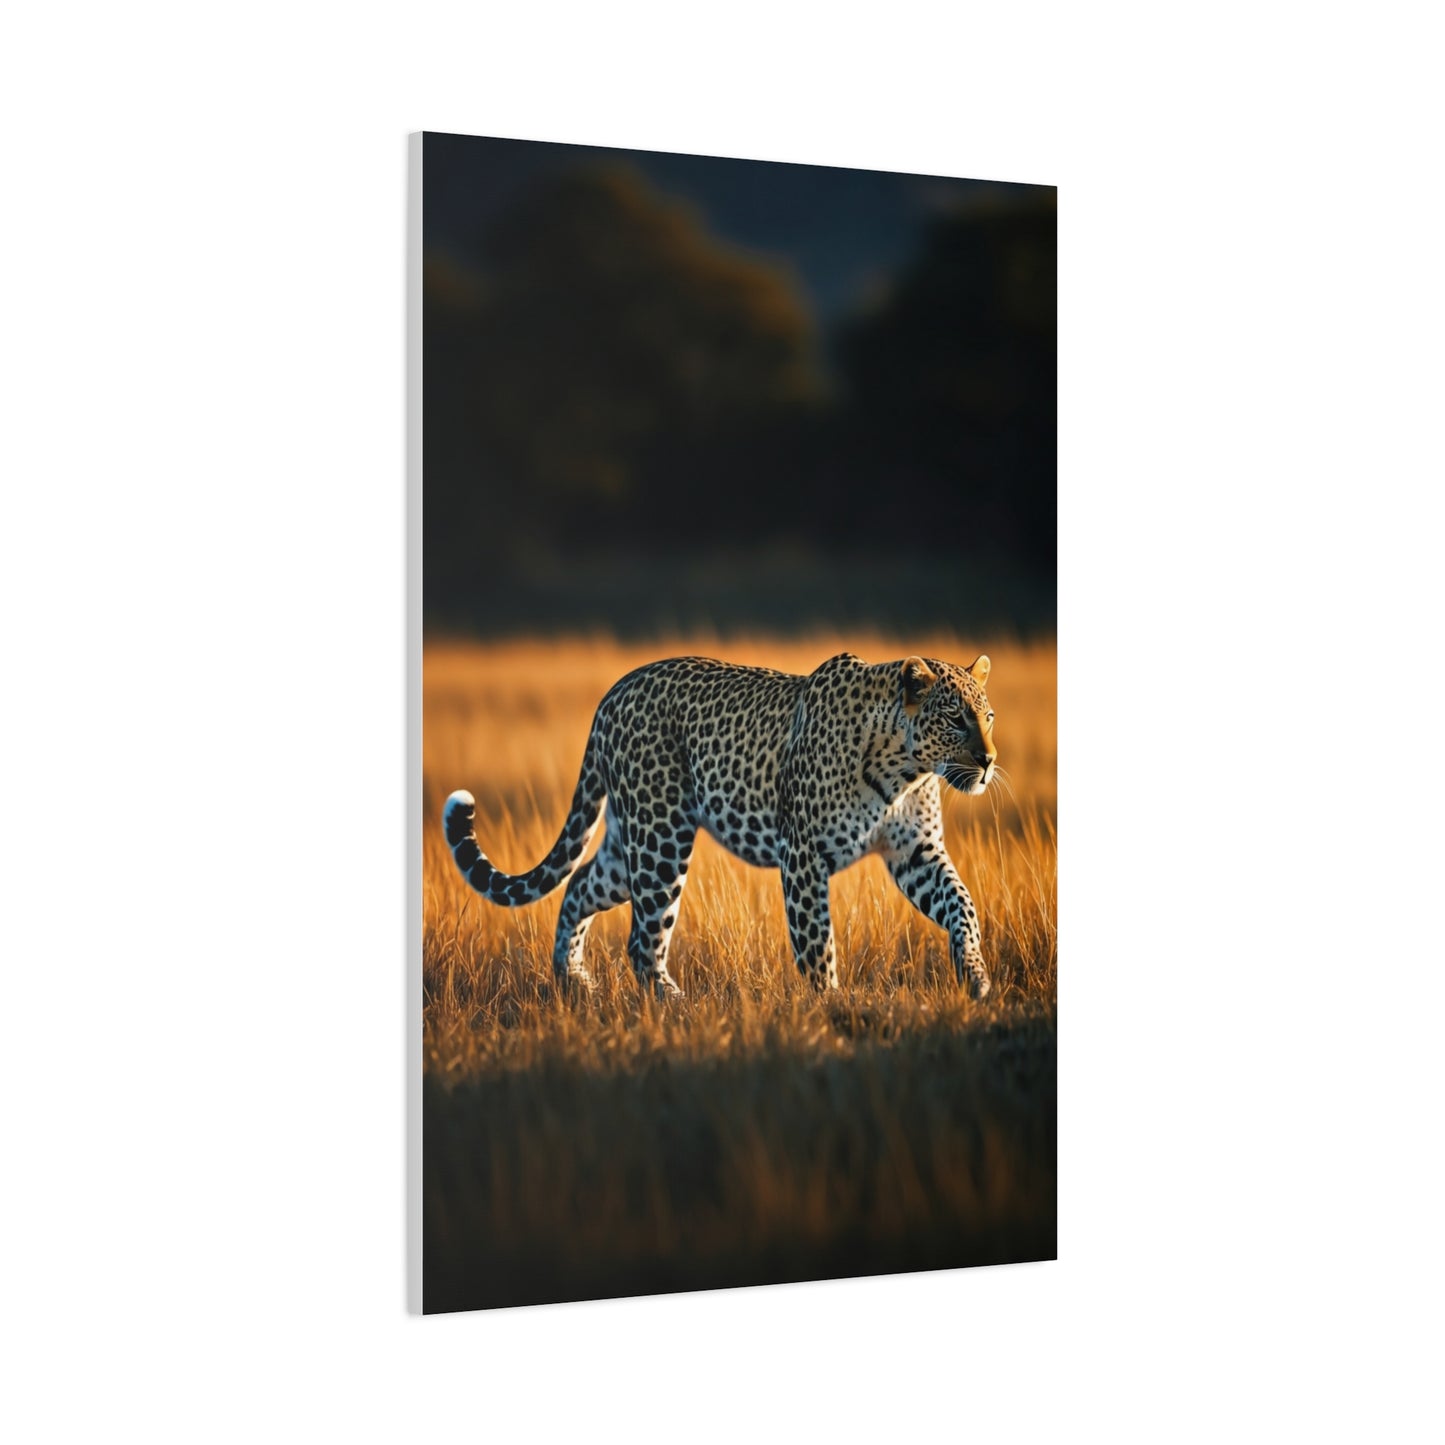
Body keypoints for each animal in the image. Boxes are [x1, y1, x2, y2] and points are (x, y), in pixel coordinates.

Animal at [442, 651, 998, 1000]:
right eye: (956, 719)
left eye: (988, 716)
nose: (990, 760)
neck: (905, 768)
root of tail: (612, 693)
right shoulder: (802, 854)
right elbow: (816, 941)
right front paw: (833, 1006)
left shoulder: (917, 853)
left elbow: (961, 903)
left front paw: (974, 973)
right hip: (661, 835)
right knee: (642, 940)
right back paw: (675, 1006)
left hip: (630, 844)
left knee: (579, 885)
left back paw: (574, 981)